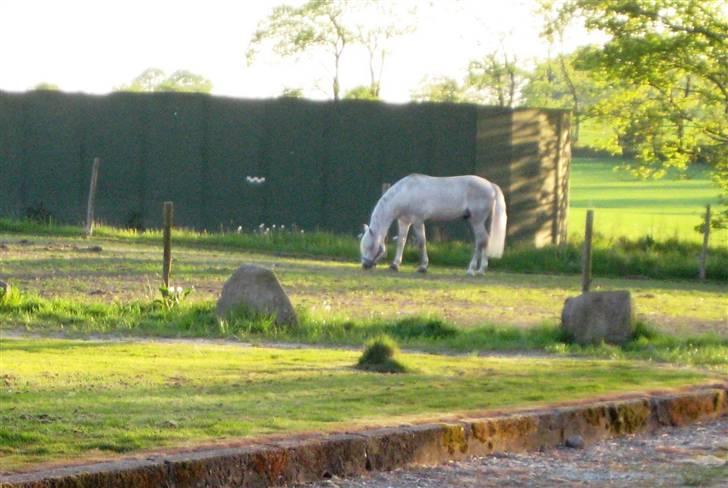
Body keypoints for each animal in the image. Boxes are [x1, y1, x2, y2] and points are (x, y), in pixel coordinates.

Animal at [358, 174, 506, 274]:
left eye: (369, 246)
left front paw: (423, 267)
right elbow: (401, 242)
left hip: (477, 221)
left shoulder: (418, 221)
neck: (406, 192)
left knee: (481, 241)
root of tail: (491, 185)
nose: (365, 265)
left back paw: (473, 269)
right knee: (484, 240)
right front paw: (395, 265)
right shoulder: (404, 221)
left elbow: (421, 242)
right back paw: (480, 270)